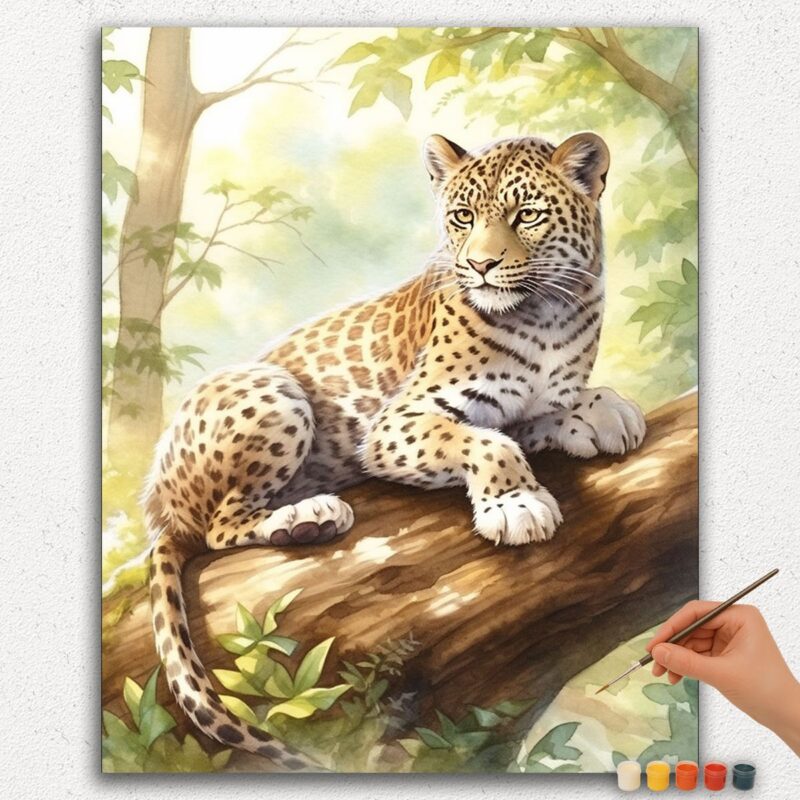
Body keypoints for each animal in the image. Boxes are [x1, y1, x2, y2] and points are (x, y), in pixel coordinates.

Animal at [144, 131, 646, 770]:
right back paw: (307, 516)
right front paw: (516, 504)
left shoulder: (524, 400)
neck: (550, 314)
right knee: (218, 527)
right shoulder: (395, 425)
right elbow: (487, 440)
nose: (480, 265)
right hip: (274, 394)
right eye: (463, 217)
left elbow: (533, 416)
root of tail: (162, 506)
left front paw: (601, 410)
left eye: (526, 215)